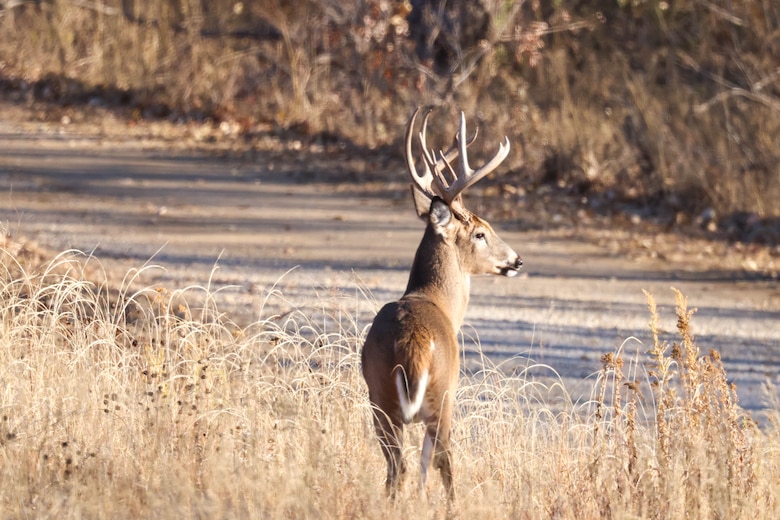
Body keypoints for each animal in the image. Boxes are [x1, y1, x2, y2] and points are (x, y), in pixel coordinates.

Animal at [361, 107, 523, 500]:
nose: (516, 259)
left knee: (397, 467)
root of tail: (413, 343)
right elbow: (433, 463)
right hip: (441, 398)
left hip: (379, 399)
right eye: (480, 232)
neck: (436, 301)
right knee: (441, 461)